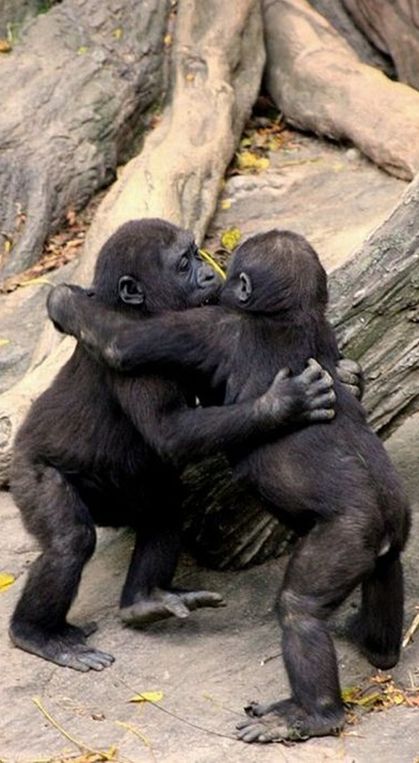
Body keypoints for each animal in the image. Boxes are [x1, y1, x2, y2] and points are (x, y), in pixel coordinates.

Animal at [9, 219, 338, 676]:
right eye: (183, 264)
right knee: (69, 540)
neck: (144, 307)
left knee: (162, 509)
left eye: (197, 253)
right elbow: (170, 431)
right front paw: (283, 405)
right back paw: (36, 633)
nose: (208, 275)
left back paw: (145, 600)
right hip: (28, 470)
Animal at [46, 222, 410, 748]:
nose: (208, 275)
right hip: (391, 525)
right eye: (187, 261)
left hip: (349, 533)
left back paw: (313, 715)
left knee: (300, 608)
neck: (287, 315)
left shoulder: (213, 327)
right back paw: (373, 643)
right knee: (386, 570)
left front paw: (65, 303)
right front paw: (333, 383)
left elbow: (122, 341)